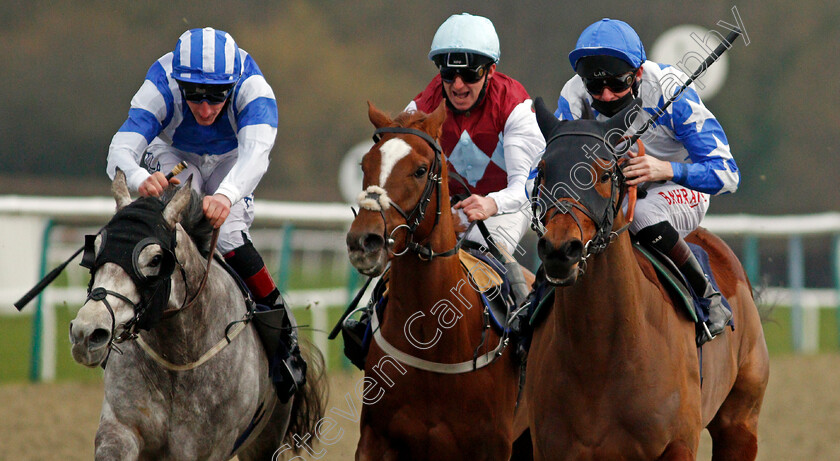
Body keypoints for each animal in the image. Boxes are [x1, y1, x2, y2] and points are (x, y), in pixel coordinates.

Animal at [69, 171, 326, 458]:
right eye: (96, 249)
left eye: (156, 259)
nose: (86, 332)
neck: (179, 356)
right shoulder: (120, 429)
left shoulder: (206, 448)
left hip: (267, 437)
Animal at [344, 101, 528, 460]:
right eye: (365, 164)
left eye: (419, 170)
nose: (364, 241)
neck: (434, 336)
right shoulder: (375, 440)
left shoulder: (493, 446)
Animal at [528, 95, 772, 458]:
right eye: (542, 171)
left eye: (604, 173)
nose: (561, 250)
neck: (598, 357)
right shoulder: (550, 448)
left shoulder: (678, 444)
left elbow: (721, 166)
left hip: (741, 422)